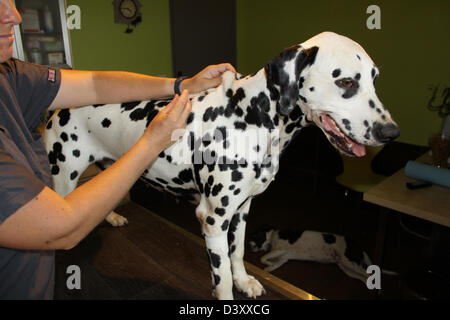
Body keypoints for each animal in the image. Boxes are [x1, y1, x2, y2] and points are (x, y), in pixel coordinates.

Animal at [246, 226, 398, 284]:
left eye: (252, 237)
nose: (248, 246)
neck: (272, 237)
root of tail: (357, 244)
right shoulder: (283, 258)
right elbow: (272, 263)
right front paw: (269, 267)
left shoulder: (281, 249)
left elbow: (263, 257)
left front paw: (267, 263)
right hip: (346, 268)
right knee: (364, 277)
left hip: (349, 262)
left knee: (369, 273)